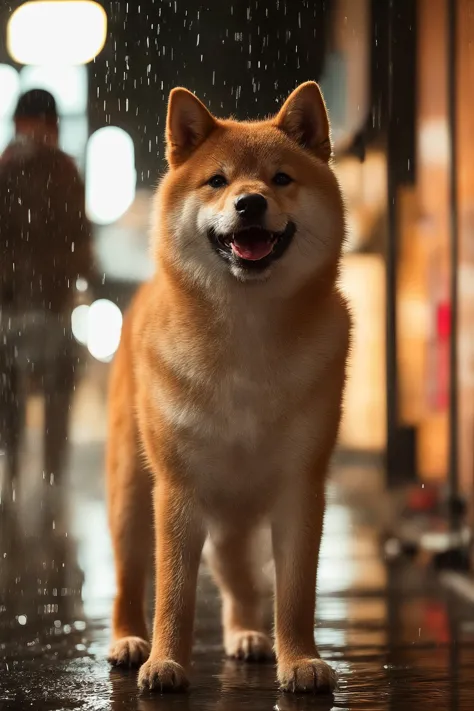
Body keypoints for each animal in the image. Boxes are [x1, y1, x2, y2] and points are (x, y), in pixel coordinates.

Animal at [108, 79, 352, 696]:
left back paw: (247, 634)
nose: (250, 203)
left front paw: (300, 659)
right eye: (217, 181)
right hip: (130, 496)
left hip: (241, 515)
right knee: (128, 580)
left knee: (241, 582)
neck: (246, 338)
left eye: (280, 179)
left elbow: (295, 592)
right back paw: (128, 640)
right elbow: (173, 592)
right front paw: (165, 662)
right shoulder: (177, 490)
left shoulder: (301, 488)